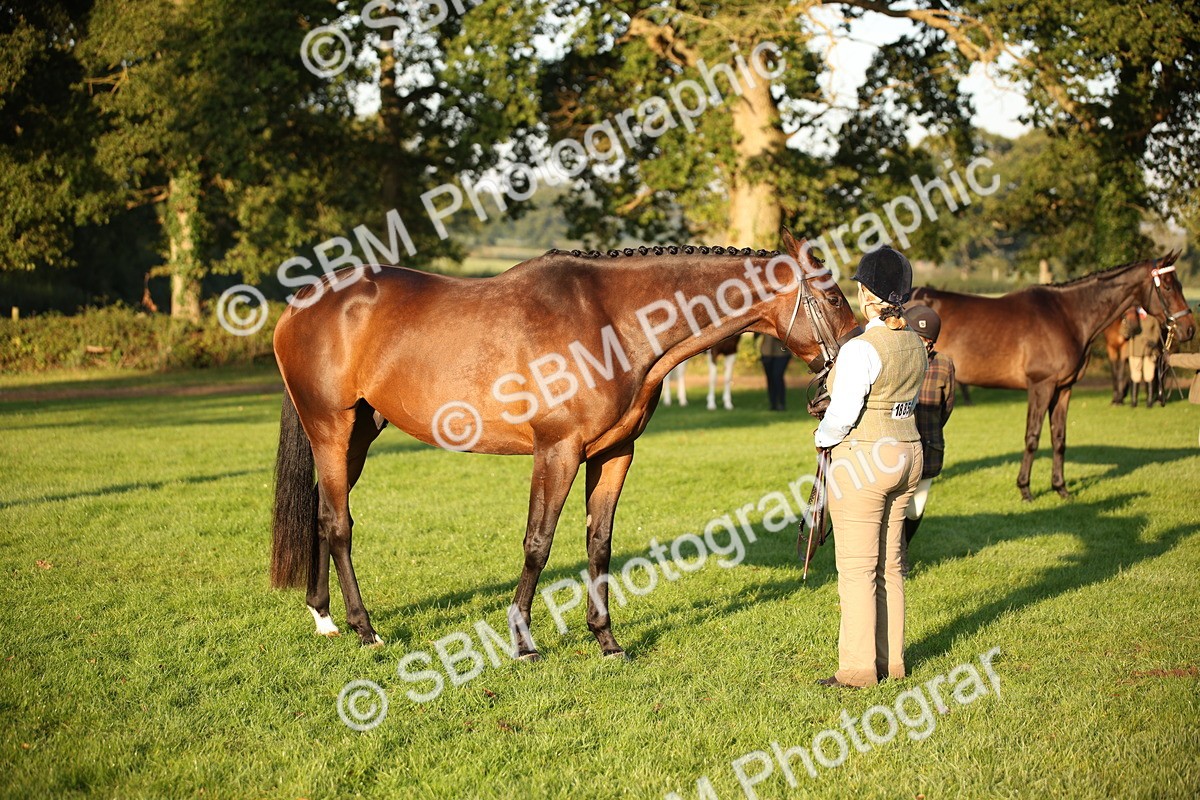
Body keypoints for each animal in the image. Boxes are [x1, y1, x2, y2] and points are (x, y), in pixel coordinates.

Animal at [269, 230, 860, 655]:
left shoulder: (614, 453)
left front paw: (606, 638)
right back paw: (364, 628)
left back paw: (324, 617)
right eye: (832, 296)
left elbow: (599, 542)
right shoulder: (557, 451)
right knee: (338, 524)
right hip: (331, 429)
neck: (611, 321)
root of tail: (302, 302)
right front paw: (523, 641)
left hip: (360, 433)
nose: (859, 357)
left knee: (321, 512)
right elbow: (538, 542)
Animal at [908, 253, 1194, 501]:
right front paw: (1025, 489)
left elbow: (1059, 438)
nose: (1190, 328)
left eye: (1179, 285)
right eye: (1168, 287)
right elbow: (1032, 436)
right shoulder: (1041, 386)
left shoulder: (1063, 389)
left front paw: (1061, 488)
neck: (1067, 316)